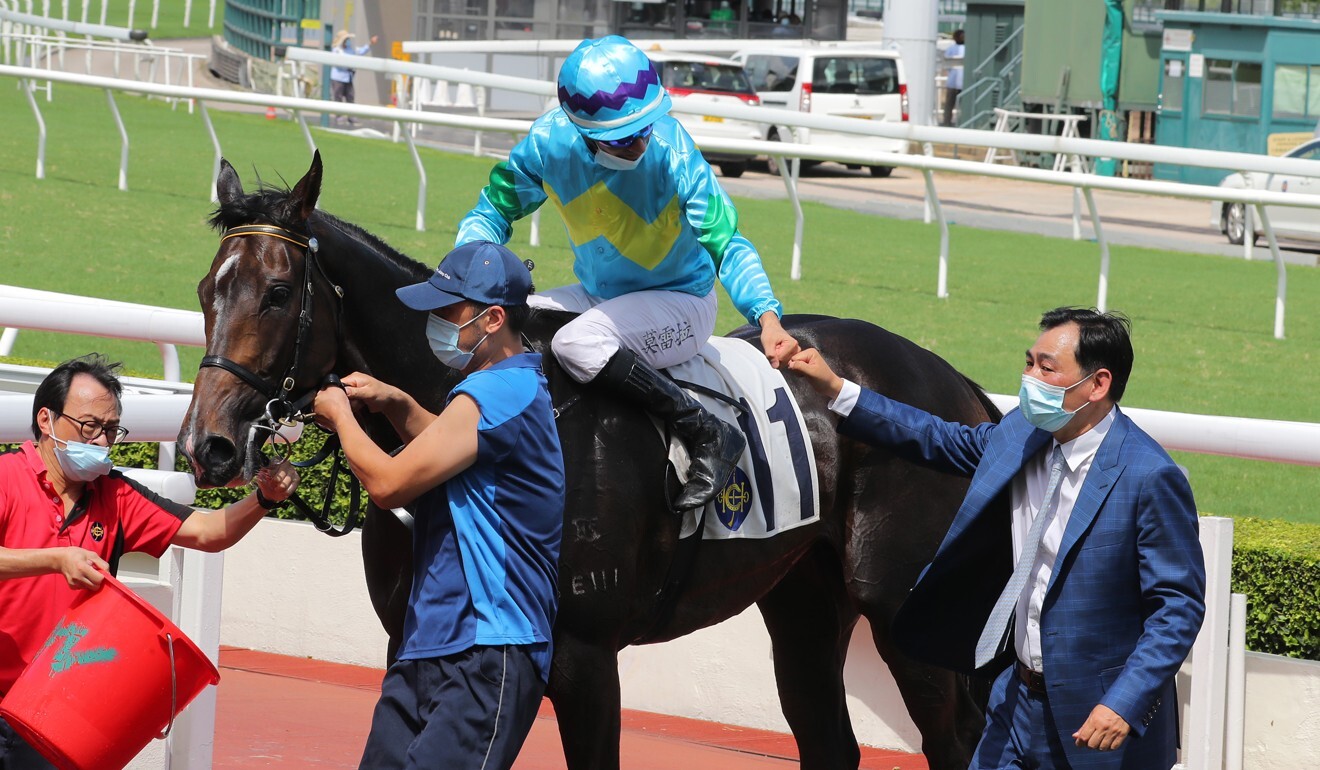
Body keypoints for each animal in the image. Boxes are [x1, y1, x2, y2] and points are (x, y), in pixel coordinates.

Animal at [180, 151, 992, 770]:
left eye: (278, 292)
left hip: (900, 613)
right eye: (205, 288)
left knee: (956, 742)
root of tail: (960, 389)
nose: (204, 444)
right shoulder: (412, 640)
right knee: (830, 742)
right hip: (803, 598)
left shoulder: (585, 657)